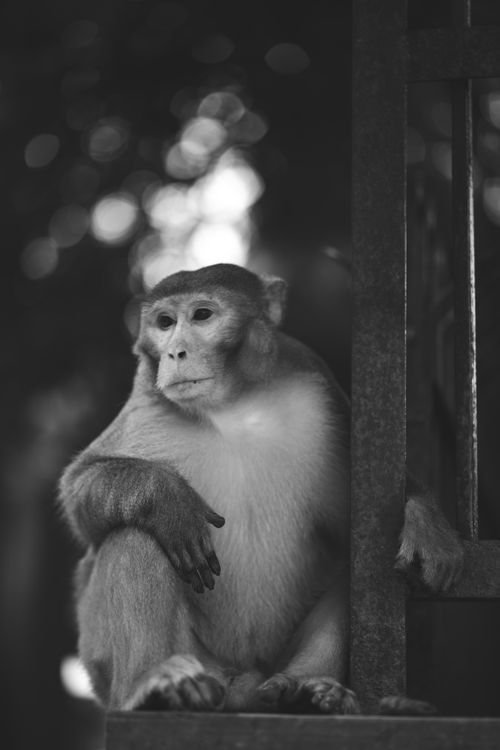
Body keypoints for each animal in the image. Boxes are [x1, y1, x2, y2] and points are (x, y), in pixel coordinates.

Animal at [59, 263, 464, 714]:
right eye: (164, 323)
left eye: (202, 316)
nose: (175, 352)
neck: (232, 406)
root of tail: (241, 684)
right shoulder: (146, 399)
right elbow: (80, 493)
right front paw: (166, 498)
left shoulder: (314, 380)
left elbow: (357, 516)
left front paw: (427, 522)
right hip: (126, 665)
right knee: (134, 535)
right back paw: (154, 685)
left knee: (354, 566)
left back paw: (304, 690)